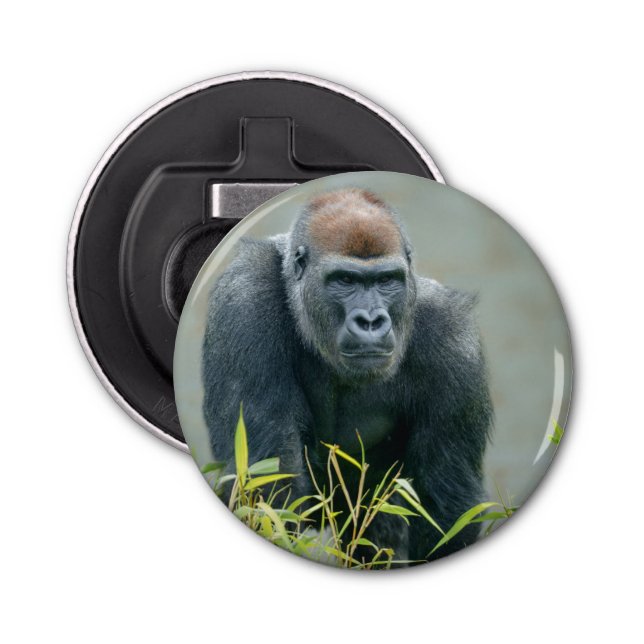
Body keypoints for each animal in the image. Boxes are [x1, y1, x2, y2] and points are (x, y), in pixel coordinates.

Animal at [202, 188, 492, 564]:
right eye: (345, 280)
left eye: (386, 280)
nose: (370, 321)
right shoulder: (243, 301)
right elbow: (267, 485)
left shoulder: (454, 338)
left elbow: (445, 509)